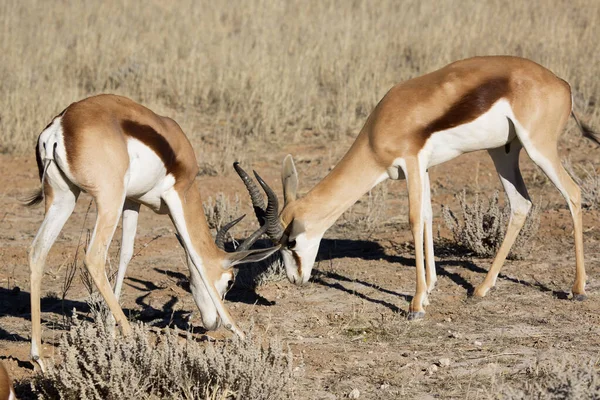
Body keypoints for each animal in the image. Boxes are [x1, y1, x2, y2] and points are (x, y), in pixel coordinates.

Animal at [22, 94, 276, 372]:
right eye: (230, 281)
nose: (213, 324)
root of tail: (62, 124)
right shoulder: (177, 196)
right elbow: (197, 256)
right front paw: (238, 332)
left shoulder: (133, 201)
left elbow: (126, 254)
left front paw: (109, 329)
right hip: (108, 200)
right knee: (94, 257)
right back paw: (132, 339)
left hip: (64, 197)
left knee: (37, 252)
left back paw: (38, 358)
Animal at [237, 55, 596, 318]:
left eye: (292, 243)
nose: (295, 279)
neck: (378, 130)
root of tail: (561, 83)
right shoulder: (422, 168)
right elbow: (426, 216)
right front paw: (431, 288)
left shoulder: (410, 163)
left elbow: (412, 219)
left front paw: (416, 304)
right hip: (503, 152)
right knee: (521, 204)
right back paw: (481, 289)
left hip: (538, 148)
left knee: (573, 193)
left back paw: (578, 289)